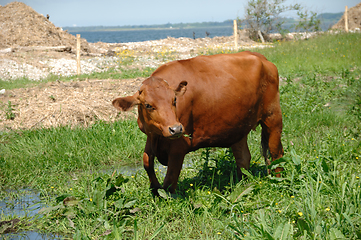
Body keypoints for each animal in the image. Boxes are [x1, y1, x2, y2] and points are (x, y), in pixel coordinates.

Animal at [111, 51, 282, 194]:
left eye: (174, 100)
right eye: (147, 105)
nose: (175, 129)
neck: (158, 139)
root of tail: (261, 58)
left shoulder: (179, 146)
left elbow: (171, 178)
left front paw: (166, 197)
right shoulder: (151, 135)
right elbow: (147, 162)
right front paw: (155, 188)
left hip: (273, 117)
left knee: (276, 152)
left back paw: (278, 179)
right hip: (238, 127)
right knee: (243, 158)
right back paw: (242, 184)